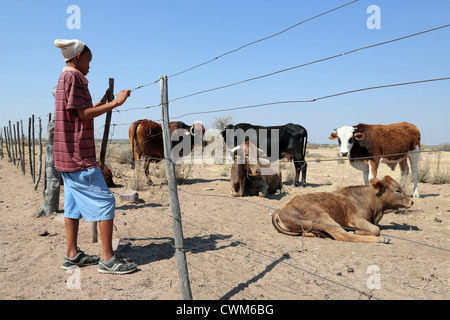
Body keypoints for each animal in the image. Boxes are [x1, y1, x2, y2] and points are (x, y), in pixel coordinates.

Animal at [272, 175, 414, 242]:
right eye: (397, 190)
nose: (412, 201)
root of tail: (279, 210)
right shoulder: (355, 219)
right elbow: (376, 229)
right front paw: (358, 231)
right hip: (323, 217)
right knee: (343, 235)